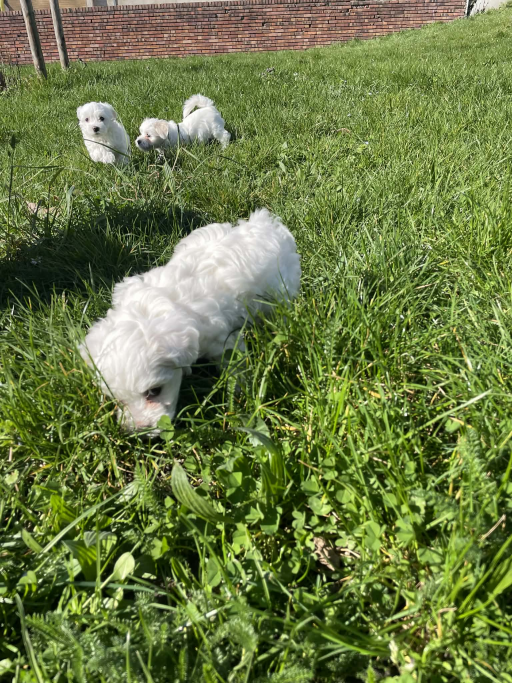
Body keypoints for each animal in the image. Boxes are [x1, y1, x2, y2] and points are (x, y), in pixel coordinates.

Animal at [81, 208, 301, 433]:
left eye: (154, 391)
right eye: (116, 399)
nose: (141, 431)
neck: (149, 310)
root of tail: (265, 223)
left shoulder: (223, 340)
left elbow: (235, 366)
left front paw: (239, 392)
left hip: (280, 291)